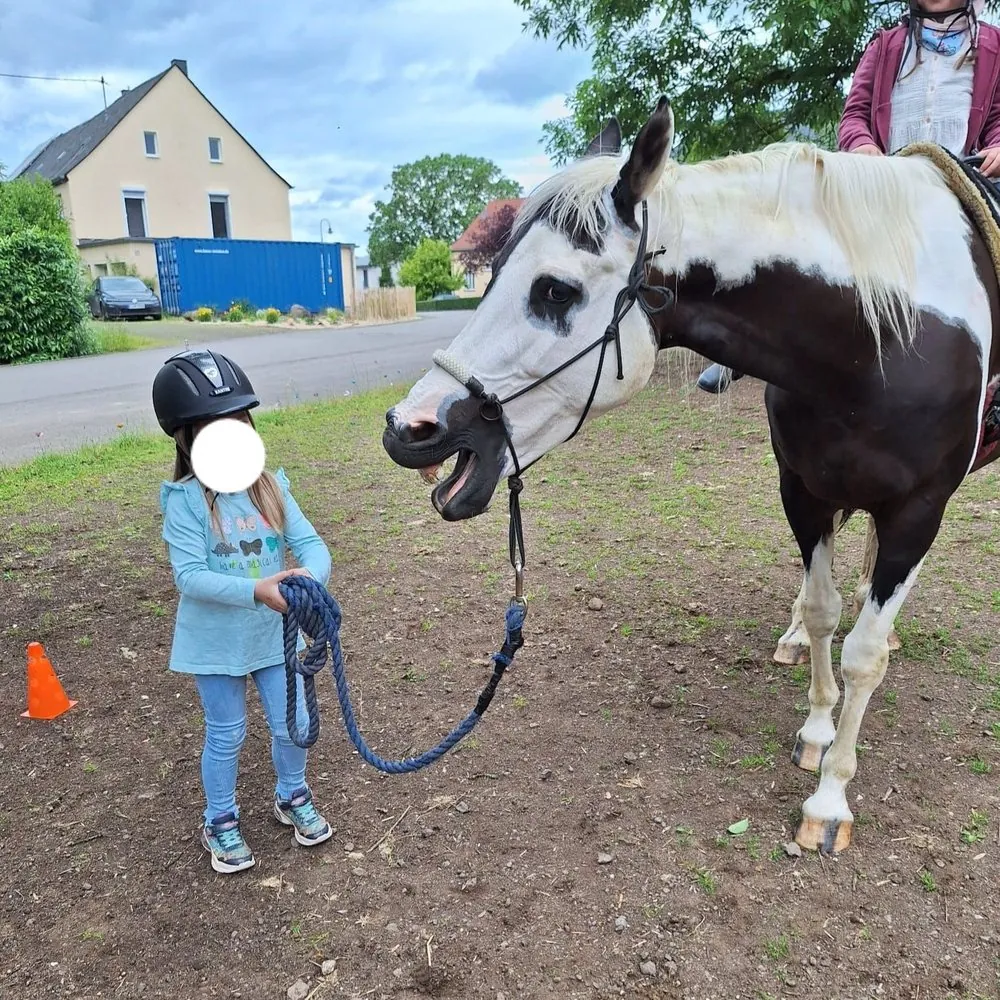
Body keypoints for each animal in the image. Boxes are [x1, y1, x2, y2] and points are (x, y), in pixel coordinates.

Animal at [381, 97, 1000, 853]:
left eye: (554, 290)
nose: (410, 427)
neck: (884, 335)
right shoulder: (802, 490)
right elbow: (823, 613)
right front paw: (817, 727)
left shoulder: (919, 509)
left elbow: (862, 656)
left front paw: (830, 800)